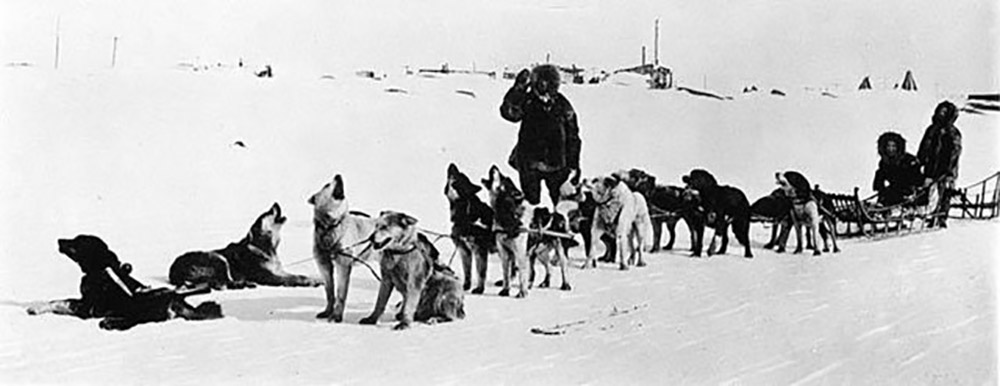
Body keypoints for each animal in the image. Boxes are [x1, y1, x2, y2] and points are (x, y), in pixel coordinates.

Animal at [27, 235, 223, 332]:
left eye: (77, 241)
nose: (59, 240)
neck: (99, 269)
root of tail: (176, 299)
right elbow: (57, 300)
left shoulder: (88, 308)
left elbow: (63, 302)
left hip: (140, 307)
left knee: (137, 320)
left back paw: (111, 323)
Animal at [167, 204, 316, 292]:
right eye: (266, 213)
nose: (275, 204)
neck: (265, 247)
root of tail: (174, 271)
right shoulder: (269, 277)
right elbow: (294, 279)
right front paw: (309, 282)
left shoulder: (279, 271)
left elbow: (299, 275)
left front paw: (312, 279)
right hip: (218, 258)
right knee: (226, 281)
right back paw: (243, 283)